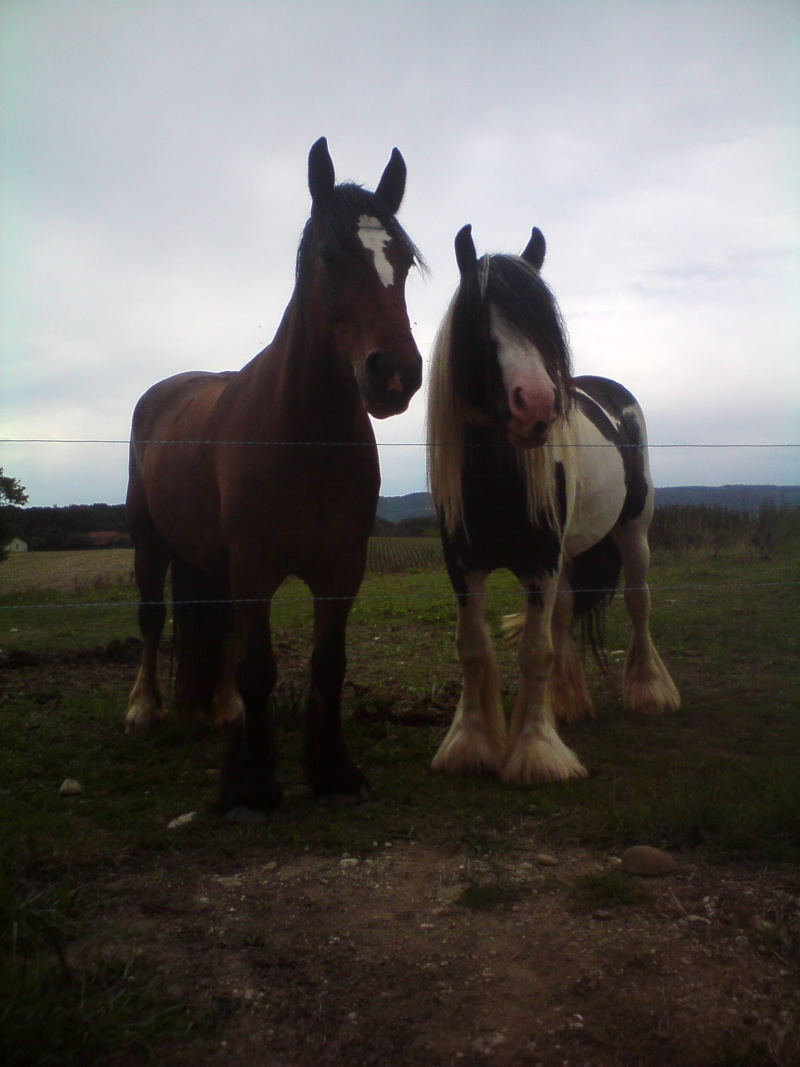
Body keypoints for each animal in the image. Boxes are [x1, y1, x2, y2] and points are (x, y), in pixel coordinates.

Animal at [125, 139, 426, 806]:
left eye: (402, 260)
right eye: (328, 255)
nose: (394, 372)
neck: (304, 435)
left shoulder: (341, 569)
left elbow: (327, 666)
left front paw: (332, 770)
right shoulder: (255, 564)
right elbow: (259, 668)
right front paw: (252, 784)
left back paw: (221, 710)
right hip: (149, 541)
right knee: (153, 620)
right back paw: (144, 709)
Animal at [428, 223, 678, 785]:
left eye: (544, 326)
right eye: (479, 321)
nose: (538, 404)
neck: (497, 480)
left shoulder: (540, 561)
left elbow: (534, 652)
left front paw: (537, 752)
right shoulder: (462, 565)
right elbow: (472, 648)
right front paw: (471, 743)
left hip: (632, 533)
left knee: (638, 601)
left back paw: (650, 691)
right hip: (571, 549)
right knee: (565, 615)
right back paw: (567, 704)